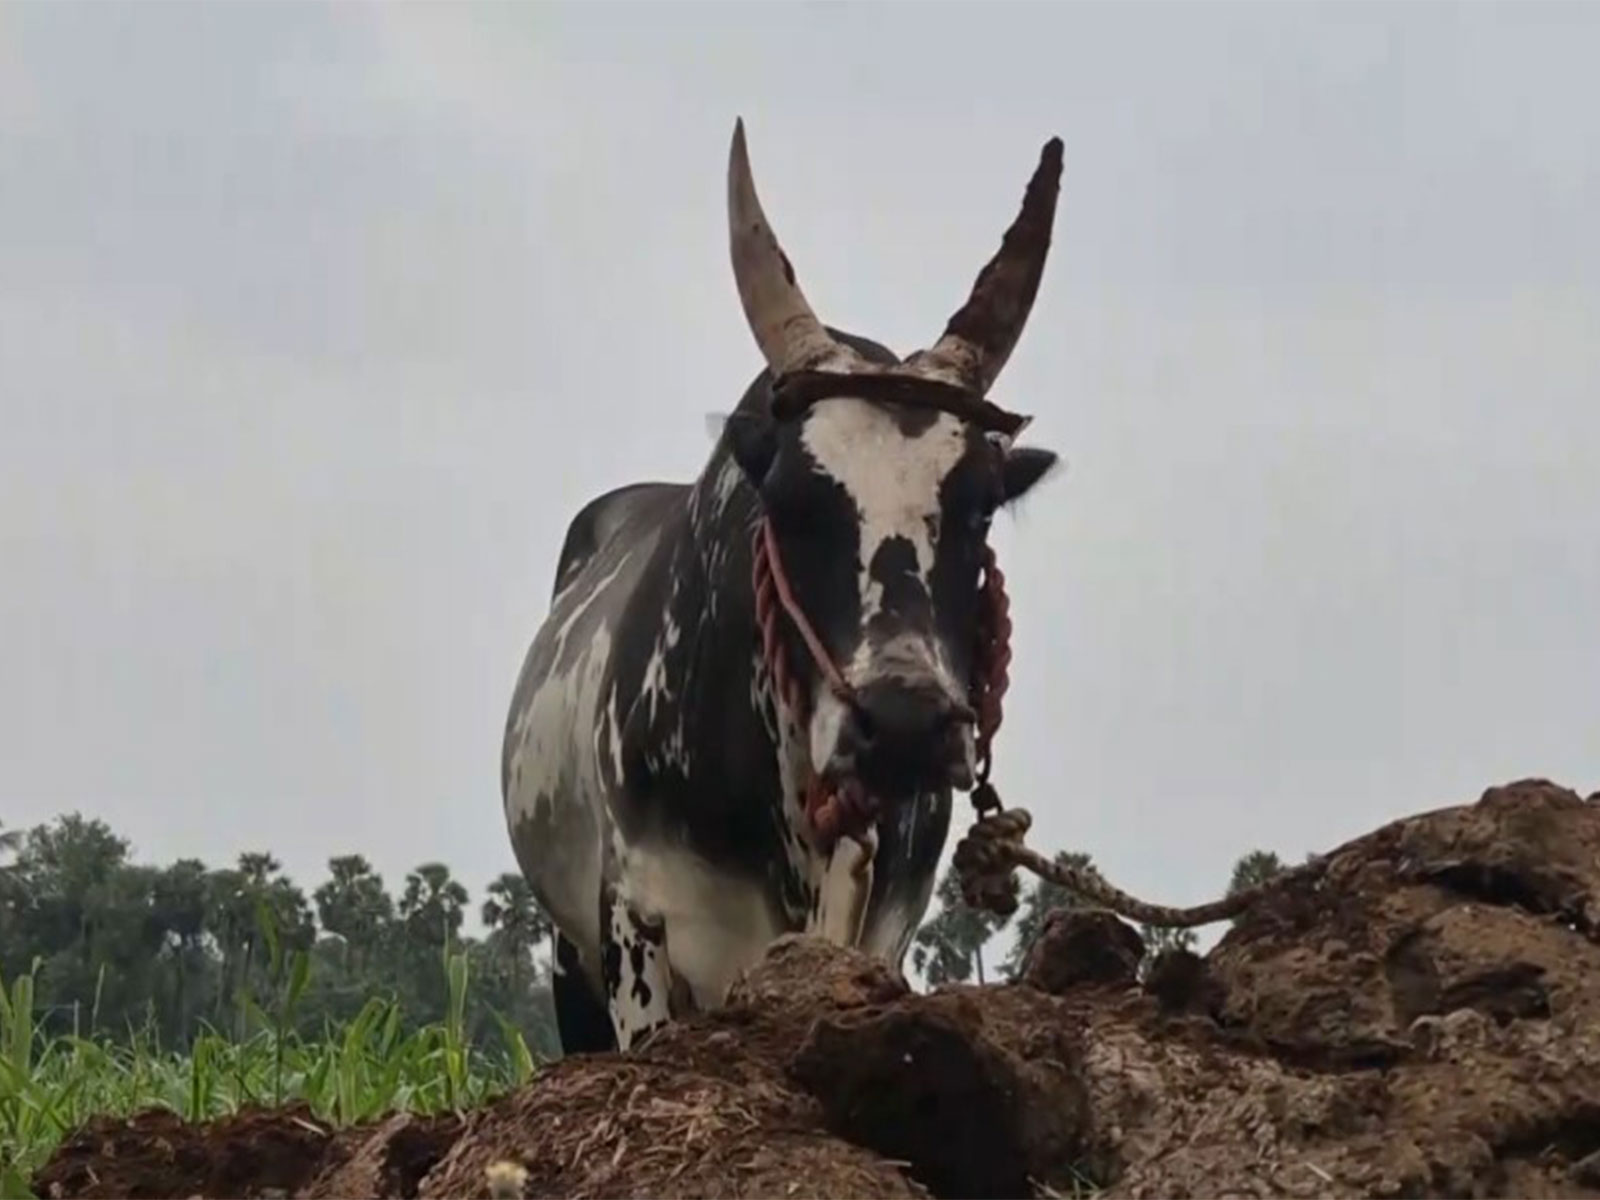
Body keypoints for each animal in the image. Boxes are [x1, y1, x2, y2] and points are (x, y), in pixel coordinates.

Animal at [500, 119, 1065, 1054]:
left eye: (981, 505)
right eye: (791, 501)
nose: (903, 725)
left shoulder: (885, 926)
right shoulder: (633, 922)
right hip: (569, 952)